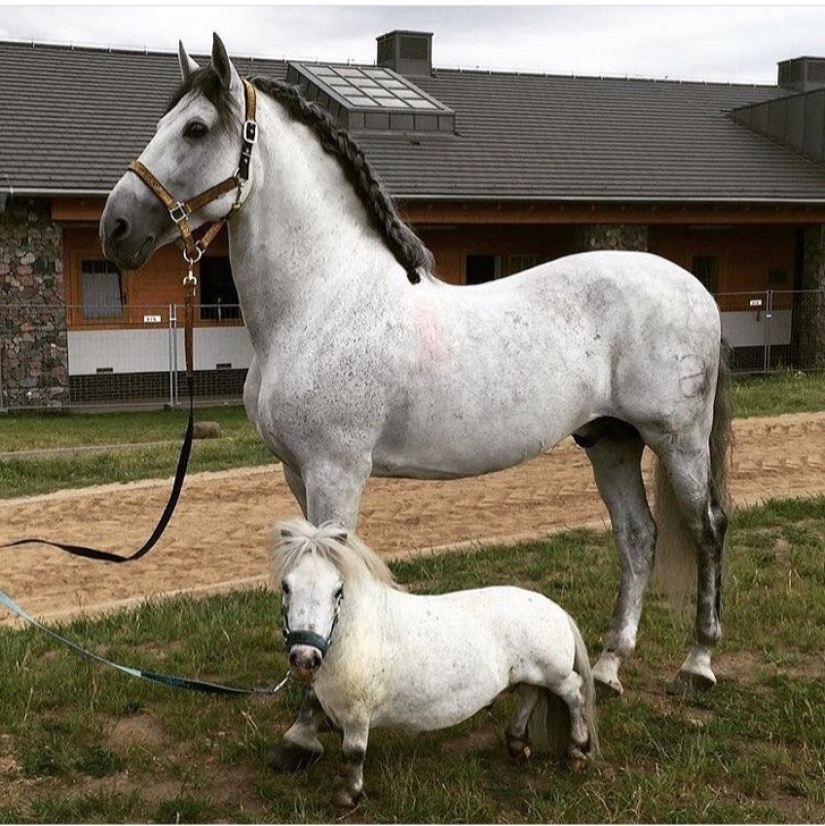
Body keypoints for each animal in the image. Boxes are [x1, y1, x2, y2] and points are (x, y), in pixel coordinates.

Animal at [100, 32, 732, 764]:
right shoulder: (297, 472)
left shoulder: (336, 470)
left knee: (707, 528)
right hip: (610, 440)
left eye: (196, 129)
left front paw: (305, 731)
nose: (115, 227)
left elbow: (331, 567)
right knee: (637, 536)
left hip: (676, 438)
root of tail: (695, 288)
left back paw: (697, 664)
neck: (321, 298)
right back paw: (607, 668)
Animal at [274, 520, 596, 808]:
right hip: (527, 674)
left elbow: (354, 752)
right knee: (530, 695)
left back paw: (577, 752)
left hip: (554, 674)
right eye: (286, 586)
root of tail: (555, 608)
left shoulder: (357, 713)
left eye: (337, 591)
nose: (305, 658)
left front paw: (348, 795)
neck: (358, 632)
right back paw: (517, 744)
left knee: (575, 694)